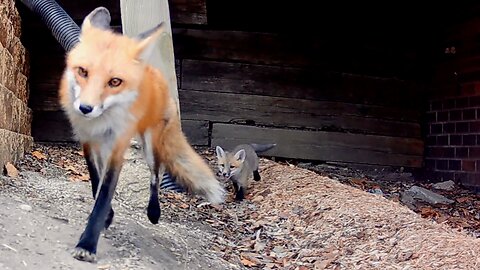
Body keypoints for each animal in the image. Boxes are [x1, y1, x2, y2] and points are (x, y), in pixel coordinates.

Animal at [58, 7, 225, 262]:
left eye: (115, 81)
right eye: (82, 71)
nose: (85, 108)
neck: (101, 123)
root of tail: (155, 73)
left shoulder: (117, 149)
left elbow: (104, 195)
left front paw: (88, 243)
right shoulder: (87, 141)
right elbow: (95, 181)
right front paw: (106, 217)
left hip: (150, 146)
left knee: (156, 175)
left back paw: (154, 211)